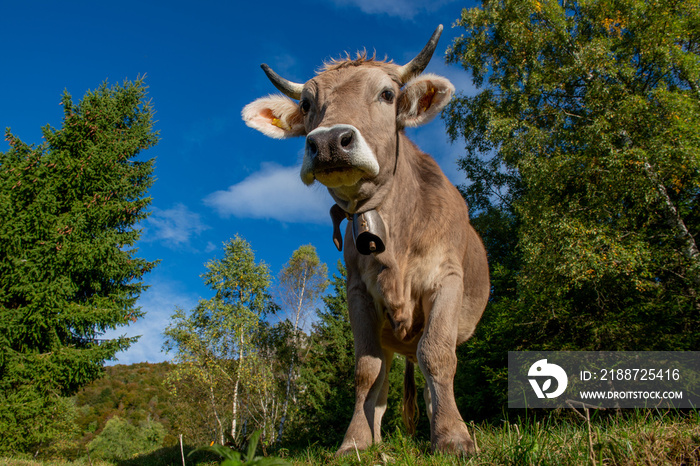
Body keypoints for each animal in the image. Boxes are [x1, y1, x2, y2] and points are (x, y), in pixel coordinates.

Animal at [243, 25, 490, 456]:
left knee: (429, 378)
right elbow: (365, 370)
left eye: (387, 94)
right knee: (383, 385)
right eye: (307, 104)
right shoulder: (358, 293)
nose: (328, 141)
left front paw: (453, 437)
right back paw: (376, 440)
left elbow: (438, 355)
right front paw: (355, 441)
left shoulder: (447, 279)